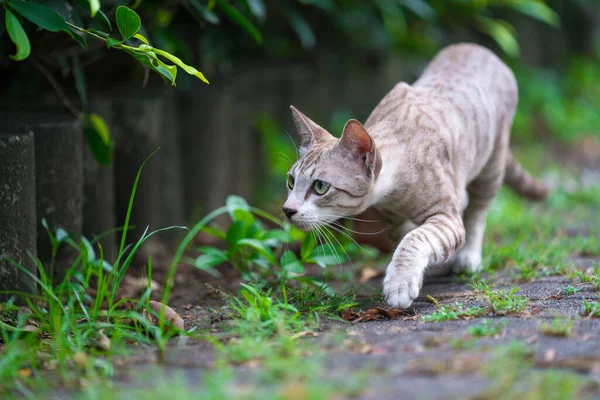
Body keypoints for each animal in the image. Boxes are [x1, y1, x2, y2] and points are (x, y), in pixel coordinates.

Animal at [282, 43, 548, 310]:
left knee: (477, 212)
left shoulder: (447, 216)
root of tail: (477, 48)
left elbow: (416, 239)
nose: (287, 210)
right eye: (291, 181)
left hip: (491, 164)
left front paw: (399, 284)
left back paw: (467, 257)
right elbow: (405, 237)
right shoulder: (394, 220)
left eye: (320, 186)